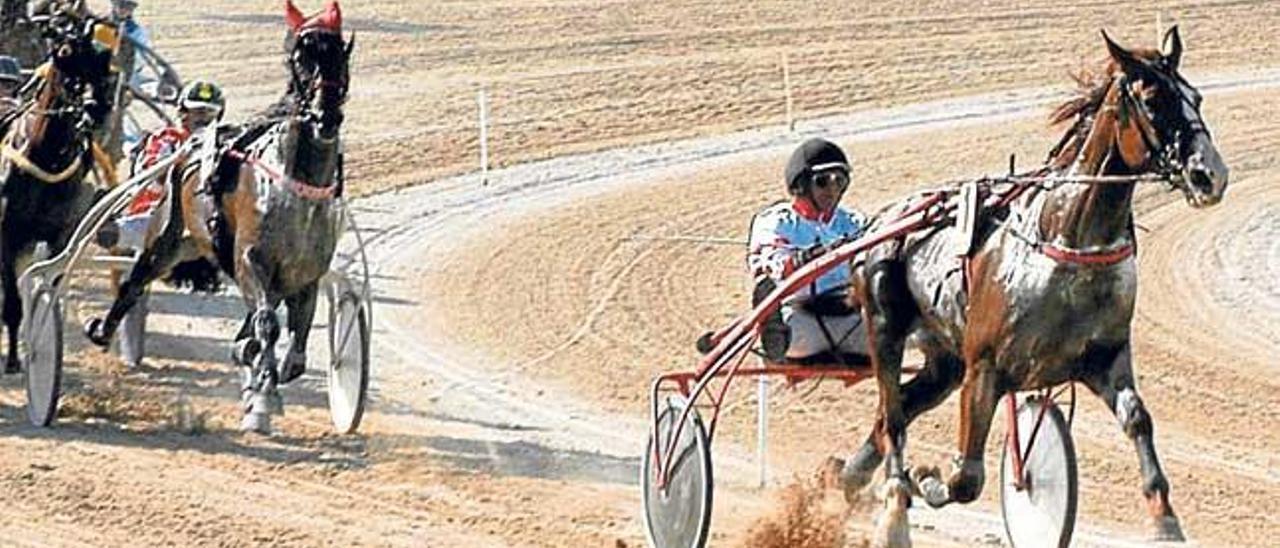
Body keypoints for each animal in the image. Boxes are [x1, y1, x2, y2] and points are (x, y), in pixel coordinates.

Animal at [0, 3, 115, 371]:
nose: (97, 108)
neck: (45, 159)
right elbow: (12, 305)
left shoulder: (59, 237)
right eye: (65, 54)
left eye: (104, 57)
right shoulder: (8, 235)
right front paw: (13, 360)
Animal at [85, 0, 350, 432]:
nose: (324, 116)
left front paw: (263, 376)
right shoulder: (250, 260)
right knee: (133, 283)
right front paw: (263, 392)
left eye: (340, 55)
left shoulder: (306, 273)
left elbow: (295, 346)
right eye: (301, 58)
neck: (297, 189)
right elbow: (267, 324)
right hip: (164, 238)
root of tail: (190, 148)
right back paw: (104, 329)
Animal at [839, 27, 1228, 545]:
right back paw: (896, 509)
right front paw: (928, 480)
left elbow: (1138, 419)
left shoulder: (1105, 357)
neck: (1067, 237)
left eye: (1195, 97)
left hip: (945, 358)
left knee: (897, 408)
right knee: (894, 417)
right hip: (884, 325)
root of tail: (881, 220)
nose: (1211, 175)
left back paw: (849, 476)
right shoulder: (984, 367)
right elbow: (966, 478)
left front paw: (1166, 521)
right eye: (1151, 99)